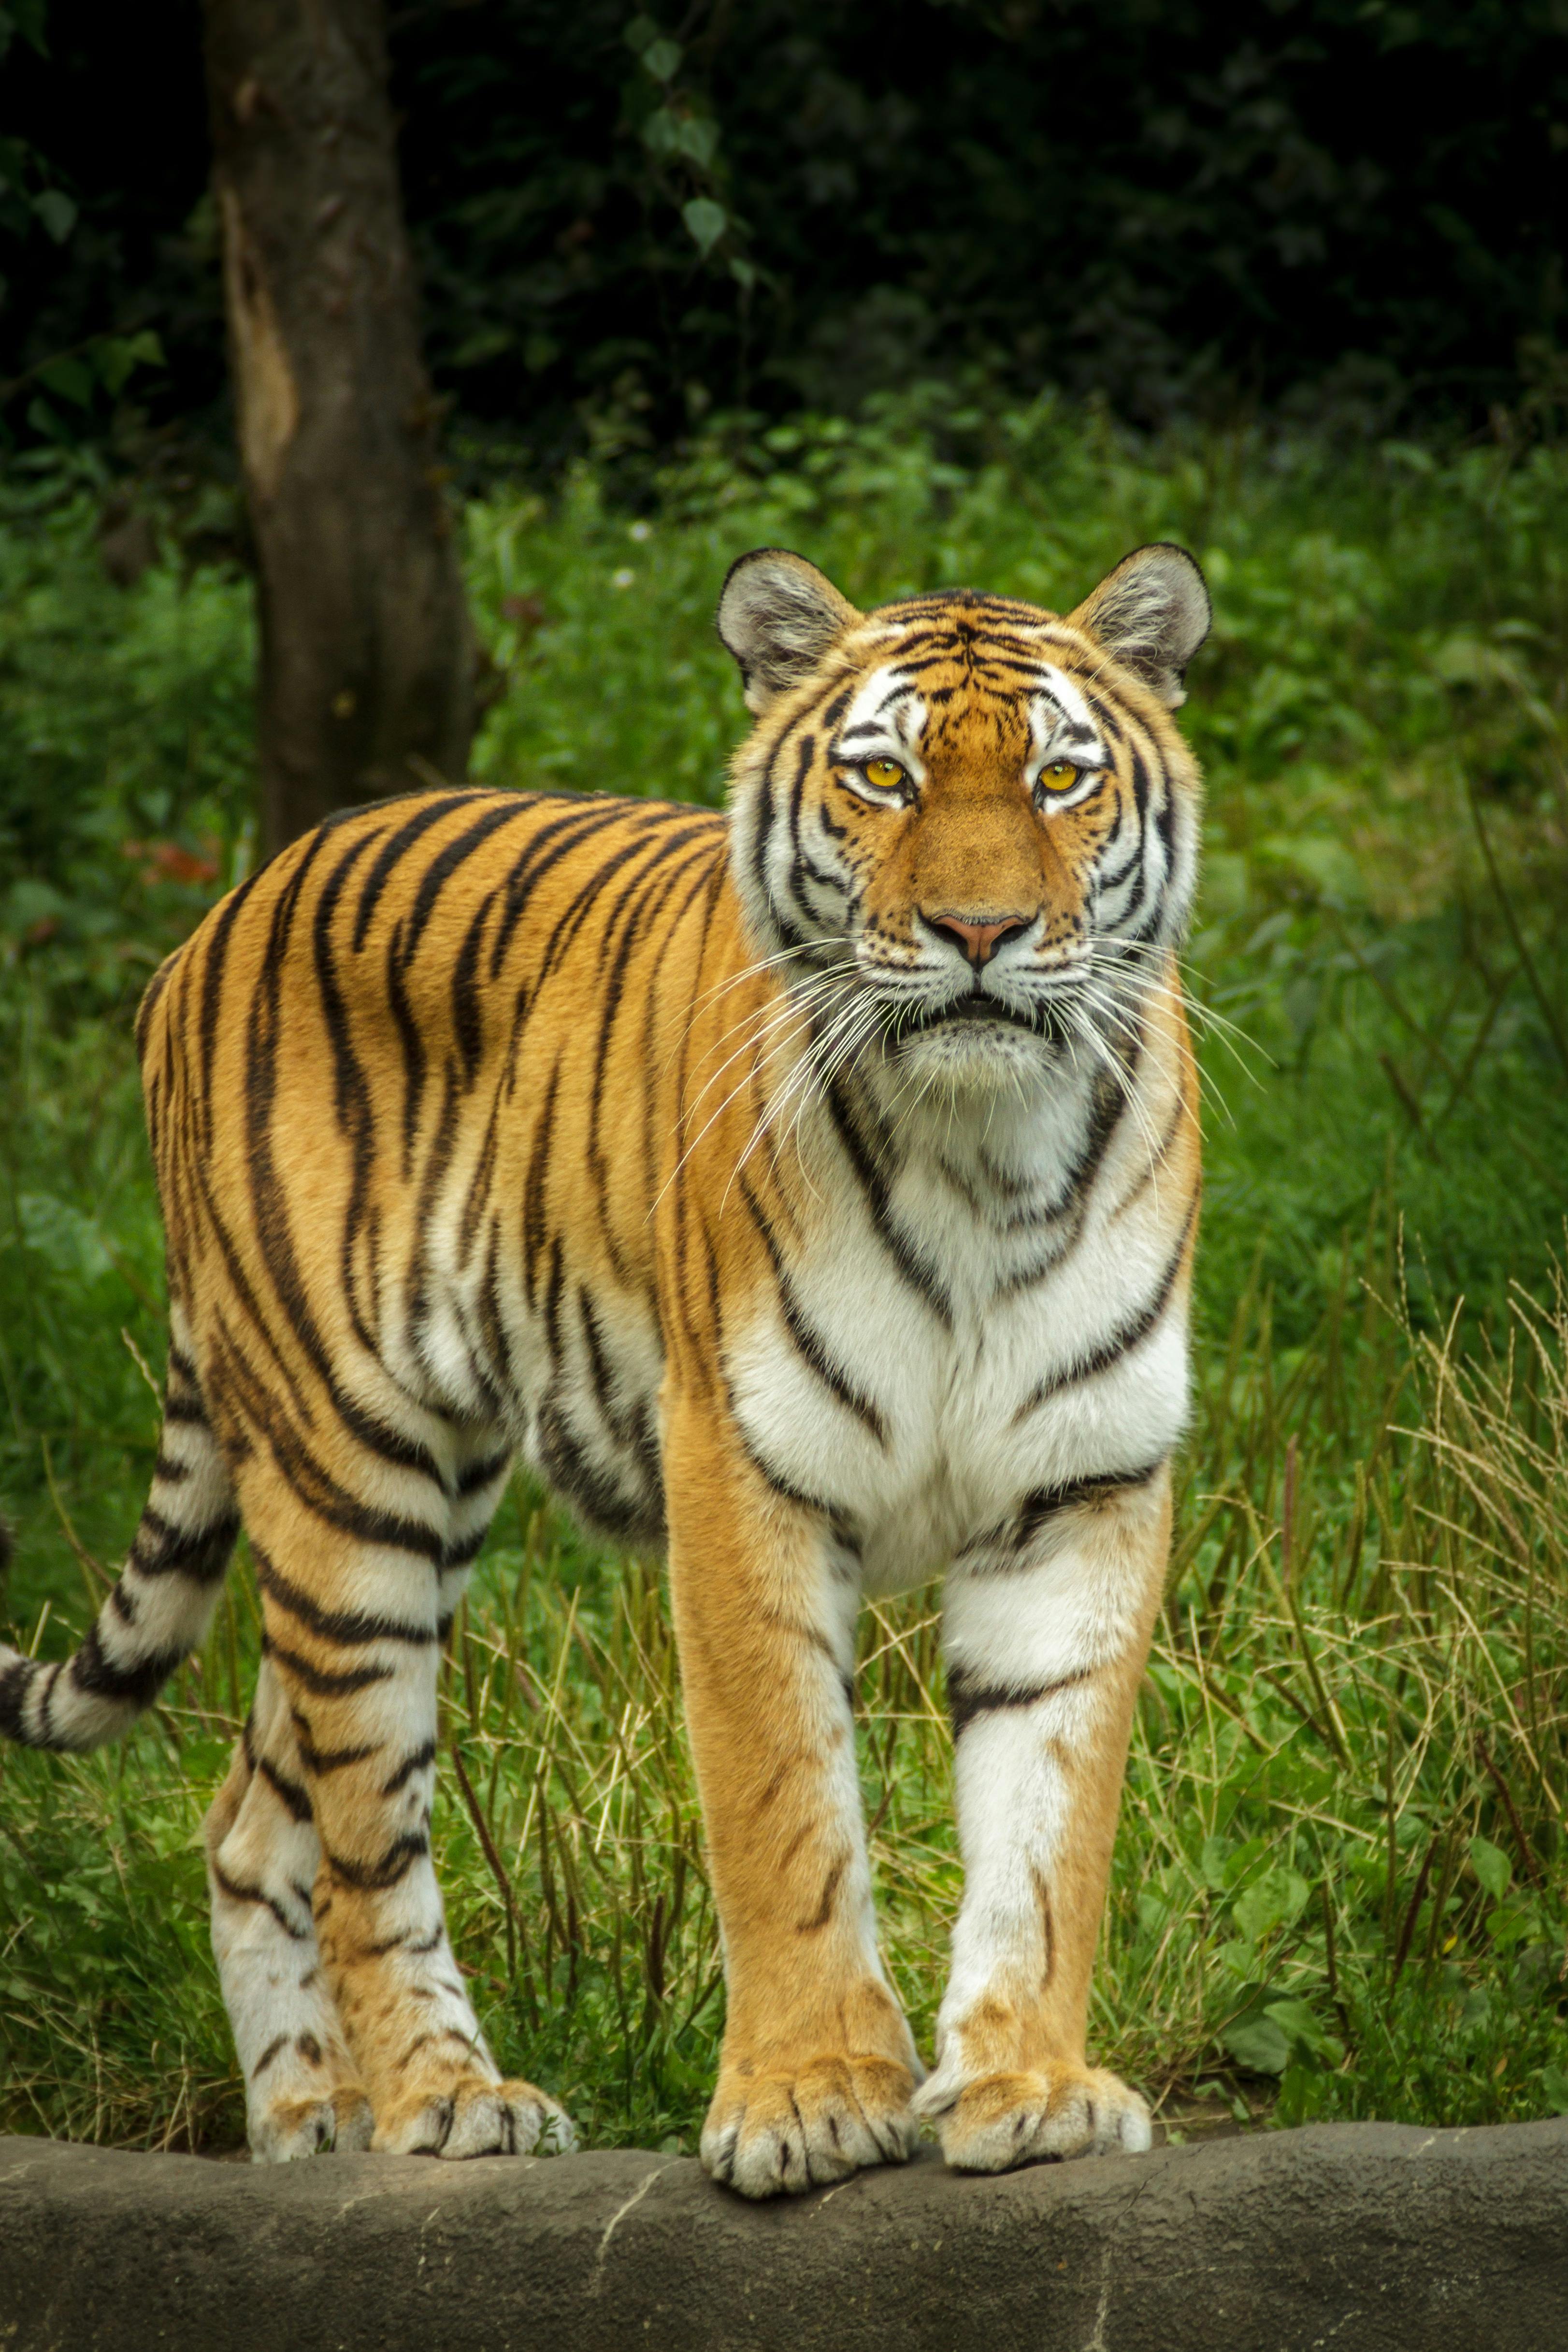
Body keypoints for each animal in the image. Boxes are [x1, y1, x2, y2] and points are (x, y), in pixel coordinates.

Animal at [0, 541, 1213, 2192]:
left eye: (1059, 778)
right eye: (883, 776)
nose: (980, 933)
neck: (981, 1152)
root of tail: (219, 914)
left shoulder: (1081, 1485)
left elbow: (1050, 1820)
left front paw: (1028, 2085)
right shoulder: (743, 1464)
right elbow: (781, 1804)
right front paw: (808, 2095)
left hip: (399, 1495)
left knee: (255, 1812)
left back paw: (307, 2120)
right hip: (349, 1471)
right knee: (363, 1826)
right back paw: (443, 2099)